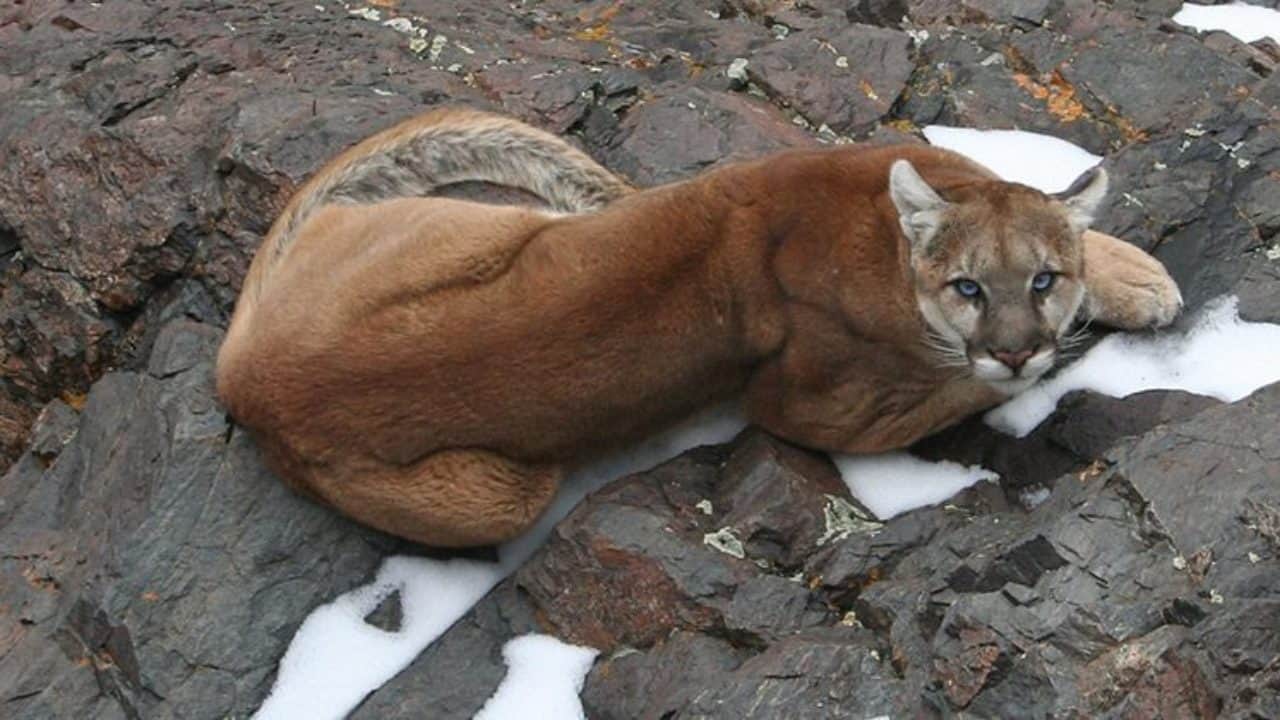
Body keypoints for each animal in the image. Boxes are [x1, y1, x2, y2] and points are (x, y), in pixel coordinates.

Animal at [217, 107, 1177, 543]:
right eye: (969, 287)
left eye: (1041, 279)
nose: (1014, 348)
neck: (880, 244)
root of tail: (247, 379)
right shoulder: (811, 409)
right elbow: (955, 387)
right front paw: (1088, 325)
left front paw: (1120, 276)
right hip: (499, 495)